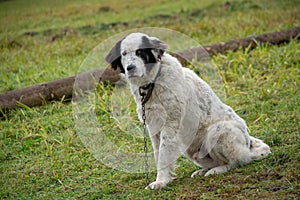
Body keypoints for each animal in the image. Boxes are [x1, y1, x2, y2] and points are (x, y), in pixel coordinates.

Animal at [106, 32, 272, 189]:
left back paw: (216, 170)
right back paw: (203, 171)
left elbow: (163, 155)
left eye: (140, 51)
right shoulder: (153, 127)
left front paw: (161, 181)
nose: (130, 68)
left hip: (217, 131)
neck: (153, 82)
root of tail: (249, 142)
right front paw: (162, 179)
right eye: (124, 54)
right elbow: (158, 154)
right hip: (190, 148)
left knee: (239, 160)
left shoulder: (170, 124)